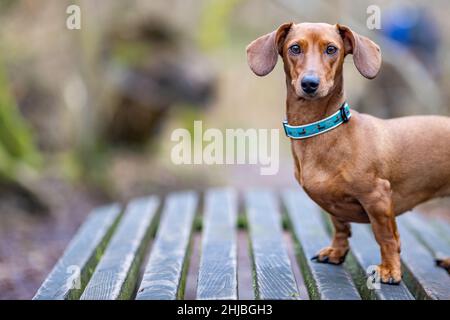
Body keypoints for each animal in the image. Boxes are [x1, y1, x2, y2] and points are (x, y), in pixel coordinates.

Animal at [246, 21, 450, 284]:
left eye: (331, 49)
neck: (323, 131)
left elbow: (386, 237)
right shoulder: (333, 204)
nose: (310, 83)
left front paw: (390, 269)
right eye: (295, 48)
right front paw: (337, 252)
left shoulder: (378, 198)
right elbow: (340, 228)